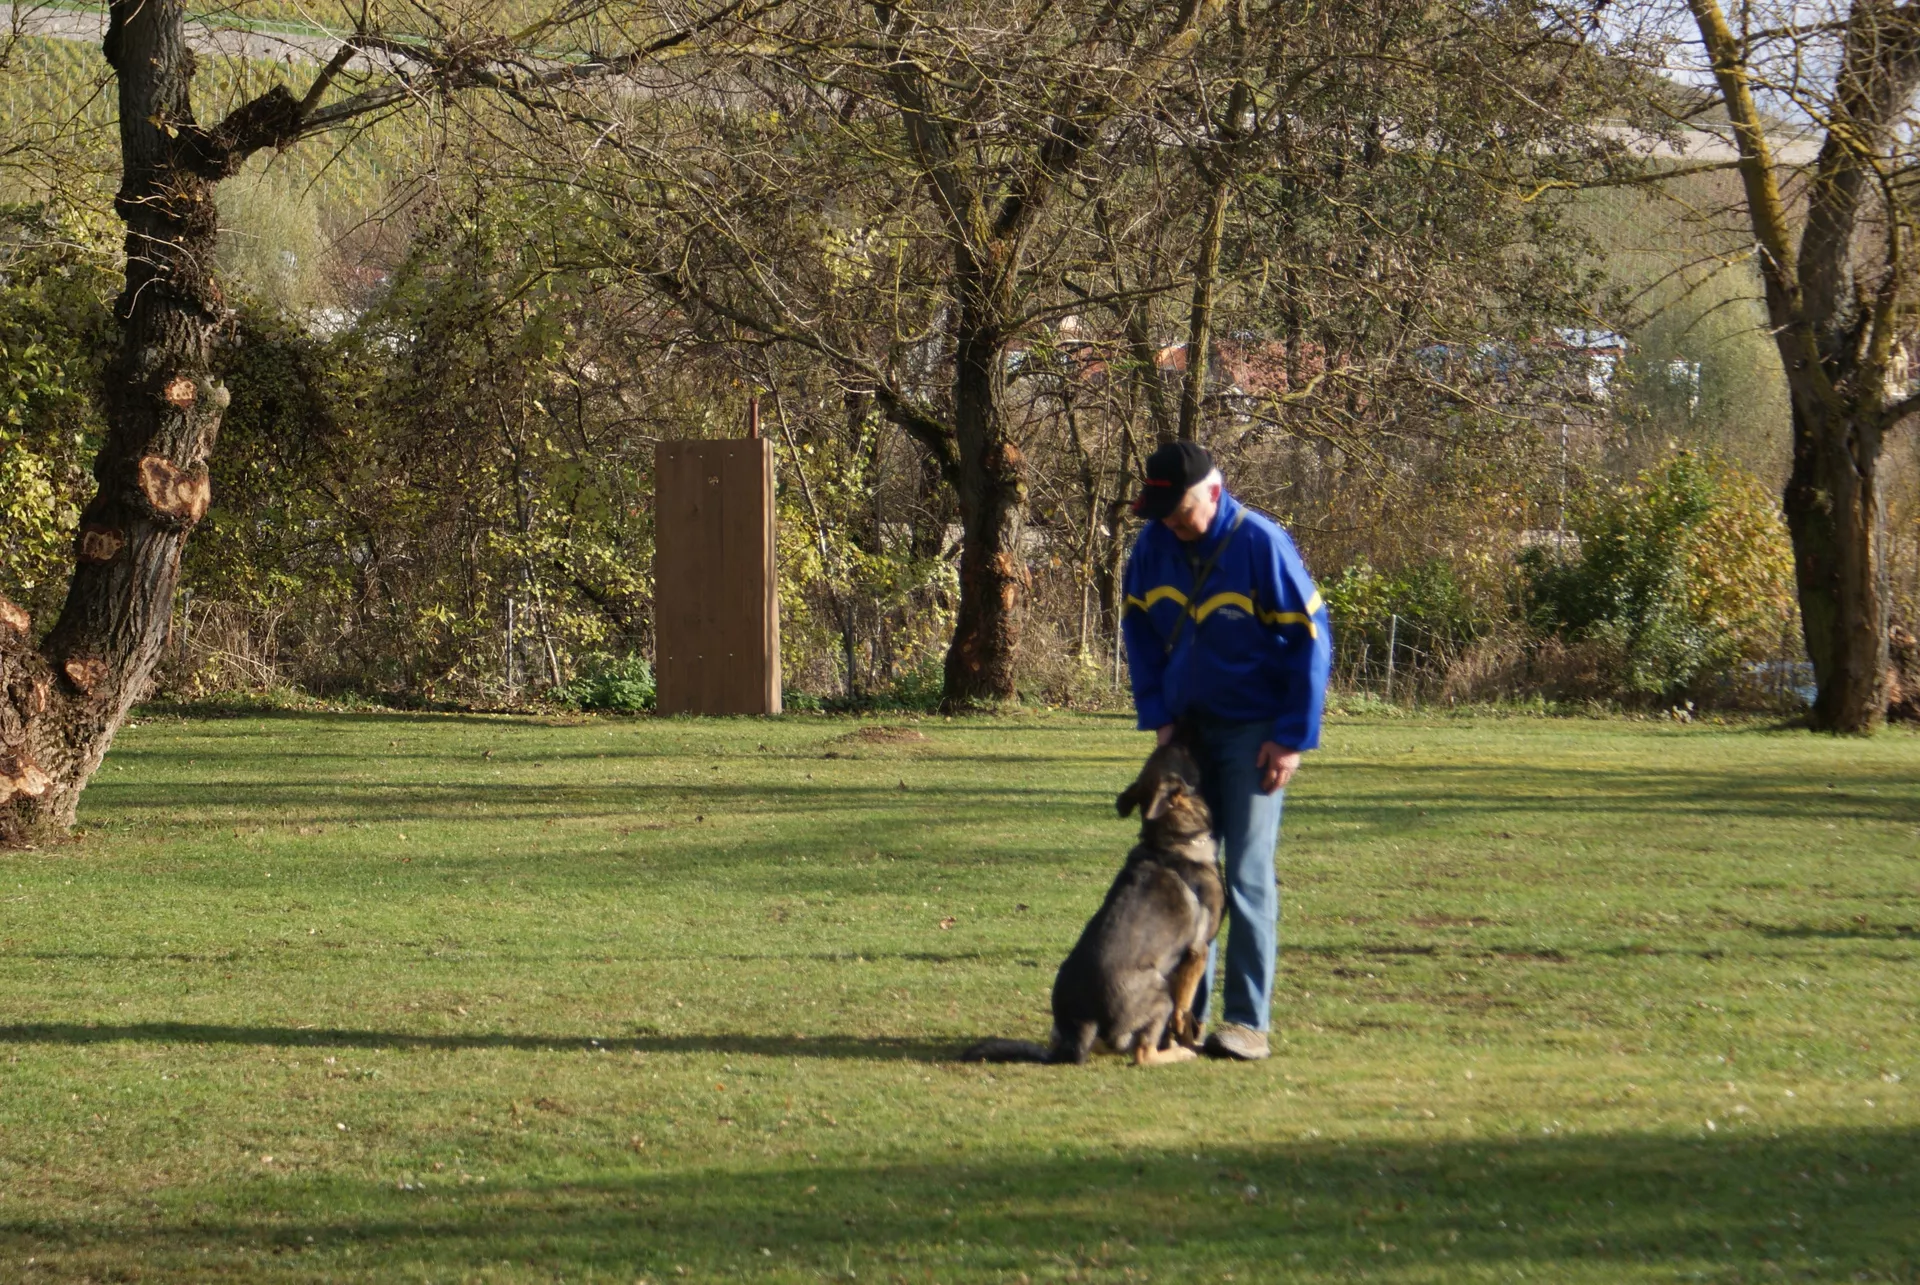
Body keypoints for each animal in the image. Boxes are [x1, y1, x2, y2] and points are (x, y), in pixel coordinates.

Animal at [961, 737, 1224, 1066]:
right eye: (1180, 757)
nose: (1180, 733)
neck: (1170, 840)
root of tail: (1083, 1025)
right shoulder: (1197, 952)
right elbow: (1184, 1012)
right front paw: (1188, 1040)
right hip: (1159, 989)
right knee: (1144, 1053)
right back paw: (1180, 1053)